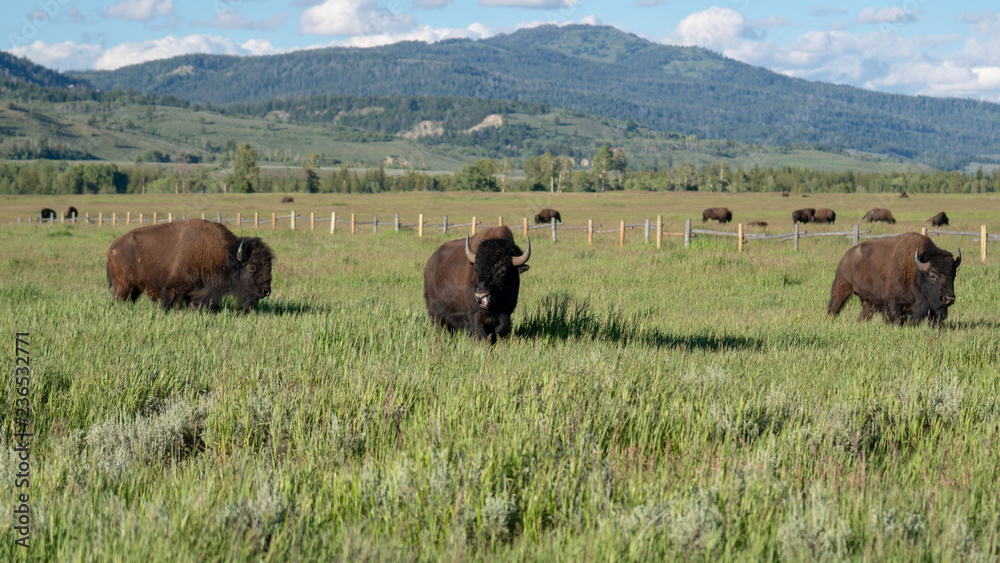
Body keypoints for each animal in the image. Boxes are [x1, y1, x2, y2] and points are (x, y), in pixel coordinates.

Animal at [105, 218, 274, 312]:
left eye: (269, 266)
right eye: (252, 267)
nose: (266, 291)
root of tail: (112, 247)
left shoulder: (201, 293)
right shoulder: (174, 289)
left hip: (133, 289)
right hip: (123, 287)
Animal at [828, 232, 960, 328]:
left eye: (954, 275)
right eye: (933, 275)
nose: (949, 298)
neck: (916, 271)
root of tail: (846, 255)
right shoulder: (894, 304)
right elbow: (895, 319)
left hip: (868, 301)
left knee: (864, 314)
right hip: (842, 287)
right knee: (833, 307)